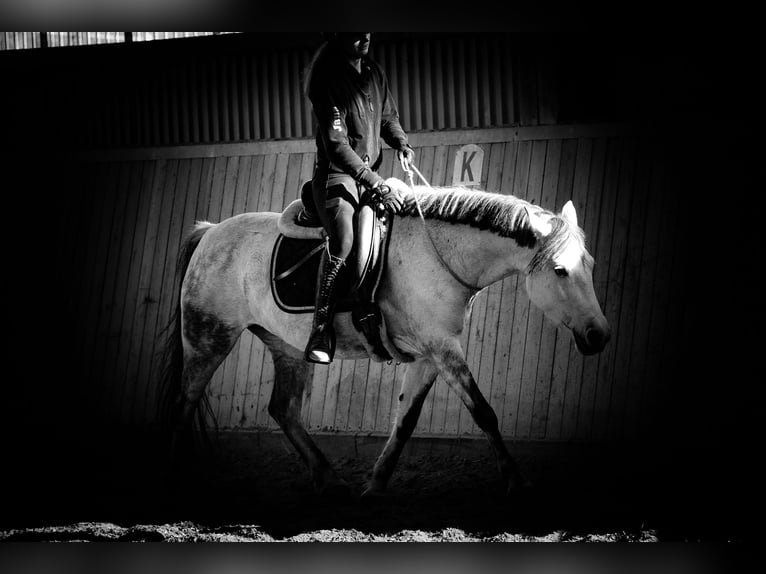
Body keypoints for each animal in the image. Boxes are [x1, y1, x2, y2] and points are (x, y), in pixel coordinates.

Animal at [159, 177, 610, 497]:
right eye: (560, 270)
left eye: (589, 264)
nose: (599, 335)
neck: (438, 254)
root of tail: (211, 232)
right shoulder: (444, 349)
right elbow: (484, 412)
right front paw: (516, 481)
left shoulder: (431, 354)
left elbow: (406, 420)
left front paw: (375, 485)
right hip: (208, 338)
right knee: (184, 404)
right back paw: (178, 476)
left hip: (285, 346)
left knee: (283, 409)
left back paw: (330, 479)